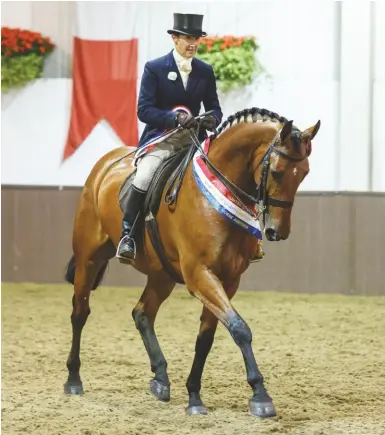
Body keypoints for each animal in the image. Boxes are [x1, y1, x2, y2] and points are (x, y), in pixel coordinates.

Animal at [63, 108, 320, 418]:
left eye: (304, 174)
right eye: (278, 172)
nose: (277, 232)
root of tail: (106, 163)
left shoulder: (229, 279)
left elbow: (208, 337)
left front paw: (194, 395)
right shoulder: (200, 274)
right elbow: (239, 328)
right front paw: (260, 395)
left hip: (161, 274)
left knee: (142, 313)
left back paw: (161, 378)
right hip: (89, 259)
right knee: (80, 312)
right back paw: (73, 380)